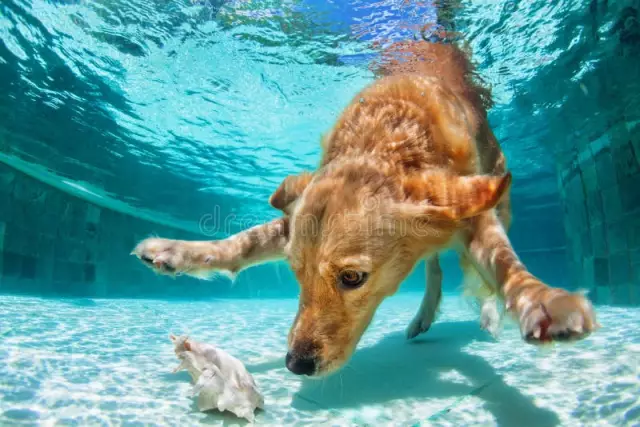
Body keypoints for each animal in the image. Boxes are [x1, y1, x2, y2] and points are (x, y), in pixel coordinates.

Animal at [134, 38, 600, 376]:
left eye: (353, 278)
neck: (385, 140)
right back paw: (423, 316)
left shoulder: (472, 216)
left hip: (493, 198)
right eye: (295, 273)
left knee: (471, 270)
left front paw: (544, 302)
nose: (295, 365)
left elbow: (506, 268)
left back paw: (487, 315)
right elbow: (241, 243)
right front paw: (175, 251)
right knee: (435, 266)